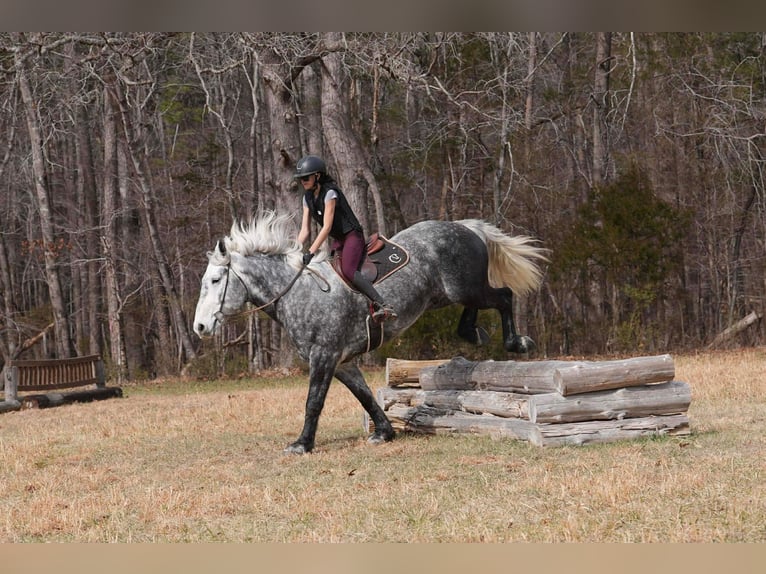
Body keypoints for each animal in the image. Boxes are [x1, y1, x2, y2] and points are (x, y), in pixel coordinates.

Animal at [193, 211, 548, 454]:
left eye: (214, 281)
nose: (200, 327)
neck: (297, 291)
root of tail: (465, 226)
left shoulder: (324, 357)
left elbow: (313, 401)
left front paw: (302, 444)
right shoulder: (342, 361)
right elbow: (363, 395)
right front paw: (384, 432)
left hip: (465, 287)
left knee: (504, 296)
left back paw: (517, 342)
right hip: (450, 294)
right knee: (477, 306)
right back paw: (473, 333)